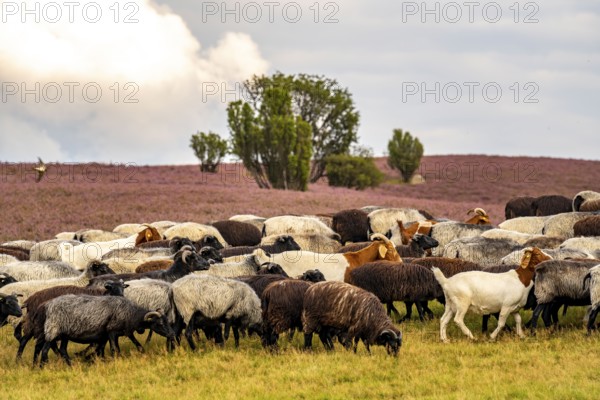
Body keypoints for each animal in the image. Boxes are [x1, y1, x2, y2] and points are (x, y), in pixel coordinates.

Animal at [40, 294, 173, 366]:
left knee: (62, 350)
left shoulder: (117, 333)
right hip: (53, 330)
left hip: (64, 335)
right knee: (45, 350)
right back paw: (42, 367)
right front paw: (114, 361)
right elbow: (114, 349)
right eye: (160, 323)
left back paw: (70, 365)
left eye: (167, 321)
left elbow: (127, 347)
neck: (131, 313)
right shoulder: (111, 331)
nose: (171, 335)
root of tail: (48, 305)